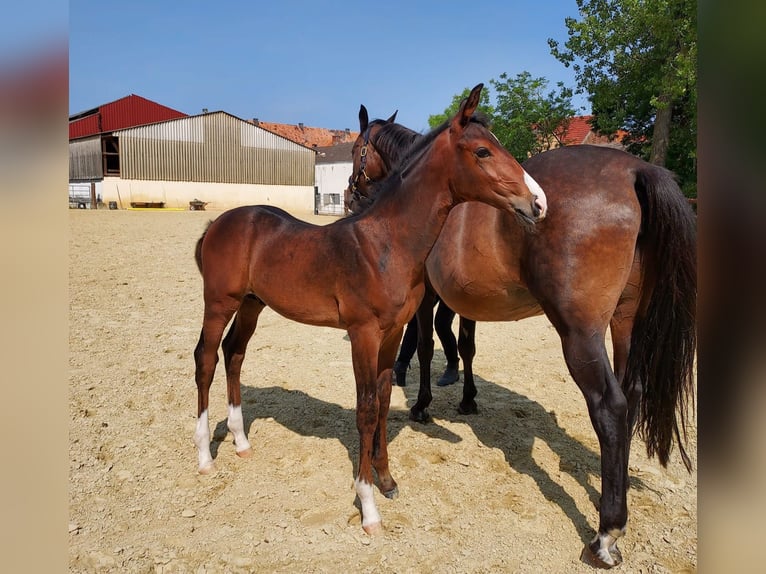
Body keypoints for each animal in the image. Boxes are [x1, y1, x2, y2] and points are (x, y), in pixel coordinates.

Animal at [192, 84, 548, 536]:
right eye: (483, 151)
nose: (538, 202)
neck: (385, 243)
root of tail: (217, 223)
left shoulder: (392, 332)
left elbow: (382, 400)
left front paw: (386, 478)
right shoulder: (362, 333)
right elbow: (364, 409)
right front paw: (368, 505)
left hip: (252, 304)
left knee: (233, 353)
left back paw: (240, 442)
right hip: (219, 303)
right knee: (205, 359)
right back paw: (205, 457)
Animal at [344, 110, 700, 568]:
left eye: (357, 149)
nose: (349, 196)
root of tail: (635, 170)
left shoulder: (426, 297)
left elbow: (423, 347)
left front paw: (422, 403)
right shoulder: (466, 300)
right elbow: (466, 346)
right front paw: (467, 398)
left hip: (581, 333)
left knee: (610, 405)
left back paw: (606, 533)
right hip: (626, 321)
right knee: (633, 392)